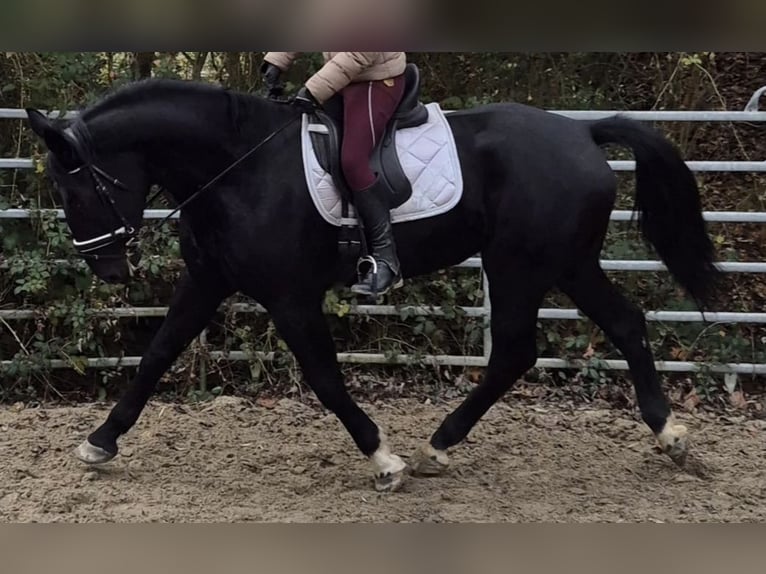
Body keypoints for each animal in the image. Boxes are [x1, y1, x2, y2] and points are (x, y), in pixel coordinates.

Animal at [25, 75, 719, 492]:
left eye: (76, 191)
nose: (108, 270)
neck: (238, 167)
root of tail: (579, 130)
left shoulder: (290, 298)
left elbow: (326, 380)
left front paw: (383, 459)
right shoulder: (208, 281)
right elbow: (155, 357)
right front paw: (99, 443)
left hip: (520, 266)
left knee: (517, 351)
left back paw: (437, 447)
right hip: (567, 263)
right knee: (623, 325)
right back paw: (668, 435)